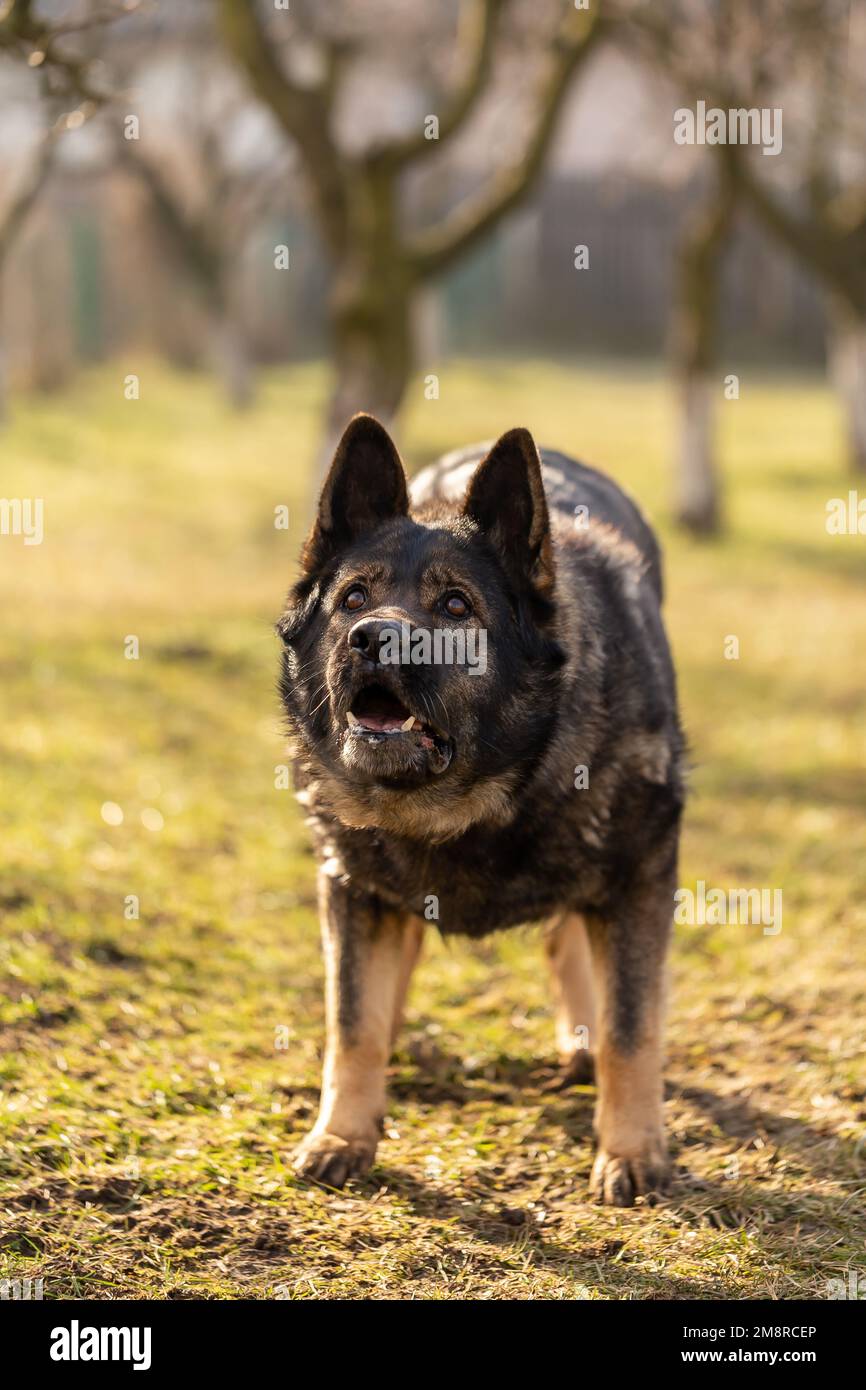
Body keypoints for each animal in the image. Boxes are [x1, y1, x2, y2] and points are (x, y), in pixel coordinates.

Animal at [278, 411, 683, 1206]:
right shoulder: (353, 888)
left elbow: (631, 1028)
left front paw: (631, 1150)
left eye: (457, 607)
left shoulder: (639, 881)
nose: (370, 638)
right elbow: (353, 1017)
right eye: (353, 600)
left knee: (570, 944)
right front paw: (343, 1134)